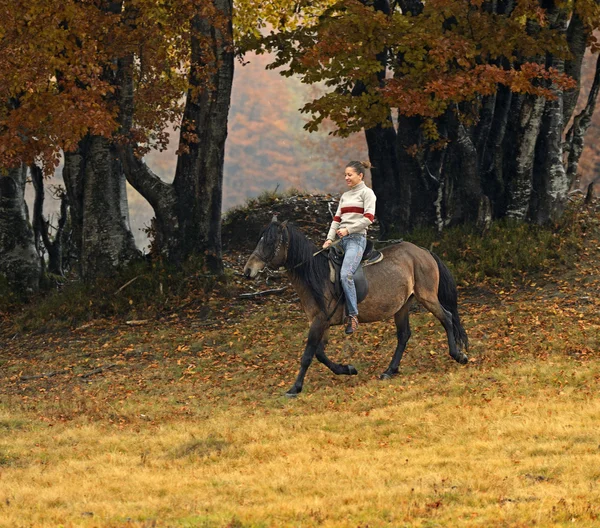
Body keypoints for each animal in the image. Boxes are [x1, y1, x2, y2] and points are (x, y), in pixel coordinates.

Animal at [244, 218, 468, 396]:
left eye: (270, 242)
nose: (248, 271)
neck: (317, 275)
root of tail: (422, 251)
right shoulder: (322, 323)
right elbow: (320, 354)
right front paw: (348, 369)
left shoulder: (319, 322)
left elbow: (308, 355)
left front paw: (295, 388)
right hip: (403, 305)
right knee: (404, 335)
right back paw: (390, 370)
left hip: (427, 296)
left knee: (447, 318)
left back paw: (458, 355)